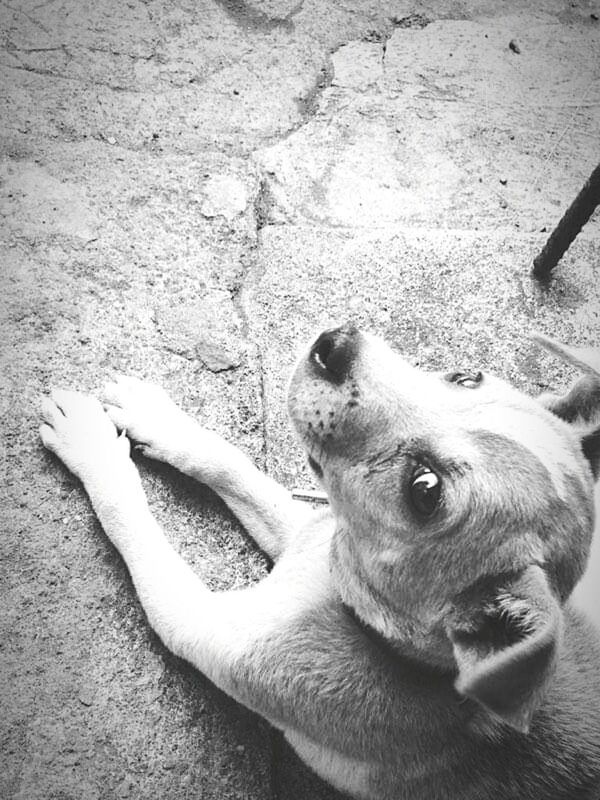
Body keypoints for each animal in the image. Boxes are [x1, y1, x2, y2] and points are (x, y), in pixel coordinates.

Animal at [38, 326, 600, 800]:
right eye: (466, 376)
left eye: (425, 489)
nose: (334, 344)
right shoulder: (310, 532)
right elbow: (233, 466)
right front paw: (158, 417)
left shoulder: (201, 622)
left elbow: (130, 516)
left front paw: (88, 442)